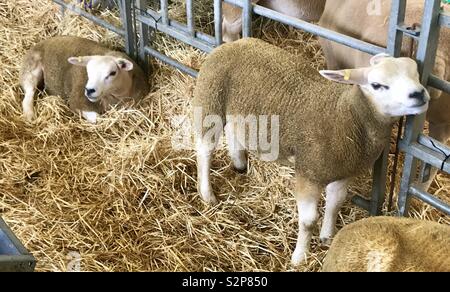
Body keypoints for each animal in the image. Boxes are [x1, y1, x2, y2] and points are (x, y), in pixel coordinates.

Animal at [19, 35, 149, 123]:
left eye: (112, 73)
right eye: (88, 71)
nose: (89, 90)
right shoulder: (76, 101)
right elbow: (97, 118)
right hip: (30, 68)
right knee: (29, 93)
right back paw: (30, 115)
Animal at [192, 37, 430, 266]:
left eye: (415, 72)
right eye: (378, 85)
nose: (419, 94)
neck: (348, 115)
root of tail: (234, 43)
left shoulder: (344, 172)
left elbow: (335, 204)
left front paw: (328, 237)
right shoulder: (309, 174)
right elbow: (308, 221)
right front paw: (300, 257)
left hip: (241, 112)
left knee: (234, 131)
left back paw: (239, 163)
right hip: (210, 100)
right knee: (204, 150)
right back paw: (207, 194)